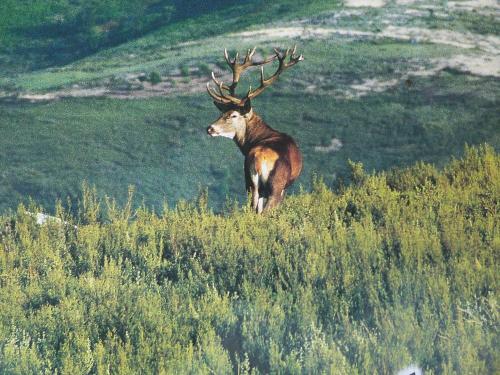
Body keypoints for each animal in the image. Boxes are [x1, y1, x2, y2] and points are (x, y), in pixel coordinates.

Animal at [206, 45, 302, 213]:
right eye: (223, 113)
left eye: (233, 114)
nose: (210, 128)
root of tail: (258, 159)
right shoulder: (285, 188)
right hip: (276, 185)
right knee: (266, 212)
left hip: (250, 184)